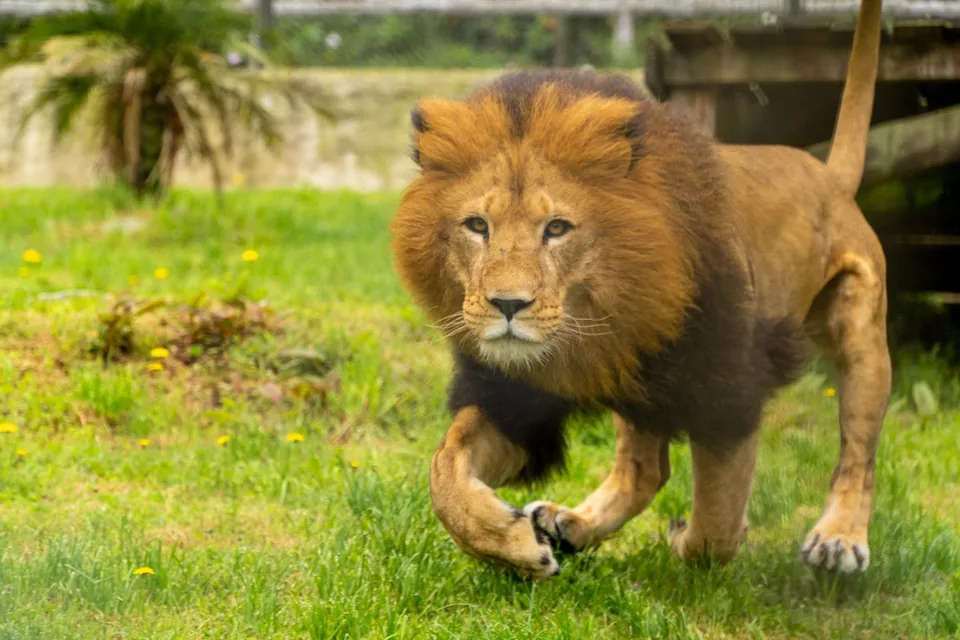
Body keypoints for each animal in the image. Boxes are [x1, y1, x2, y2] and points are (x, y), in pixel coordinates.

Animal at [390, 0, 889, 580]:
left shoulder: (728, 387)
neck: (586, 333)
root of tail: (827, 175)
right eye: (477, 226)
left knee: (859, 454)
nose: (508, 305)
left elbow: (717, 525)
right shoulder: (513, 393)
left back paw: (838, 539)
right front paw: (511, 544)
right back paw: (572, 524)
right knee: (643, 468)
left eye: (557, 228)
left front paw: (689, 539)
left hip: (859, 335)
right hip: (639, 381)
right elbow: (444, 471)